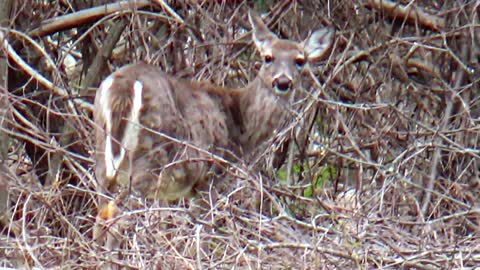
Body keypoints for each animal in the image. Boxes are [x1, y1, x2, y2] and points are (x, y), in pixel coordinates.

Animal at [94, 10, 334, 205]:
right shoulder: (210, 175)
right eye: (268, 57)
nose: (283, 82)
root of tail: (123, 87)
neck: (239, 124)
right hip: (152, 155)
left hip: (103, 154)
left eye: (300, 60)